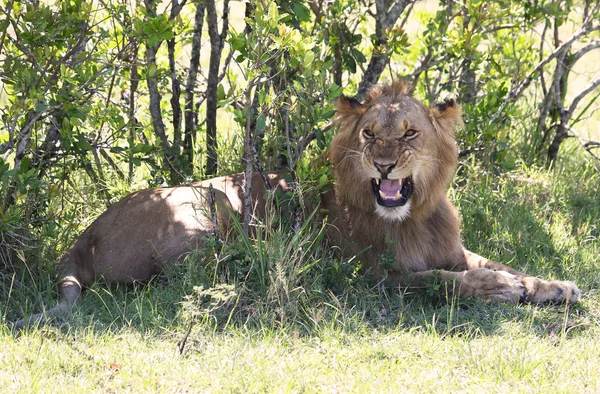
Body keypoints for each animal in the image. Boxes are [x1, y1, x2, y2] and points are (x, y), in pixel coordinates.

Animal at [12, 81, 576, 328]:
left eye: (409, 133)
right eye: (370, 135)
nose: (385, 167)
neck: (411, 215)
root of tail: (83, 235)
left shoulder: (452, 249)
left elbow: (496, 262)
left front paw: (553, 285)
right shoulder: (374, 275)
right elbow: (440, 281)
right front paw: (499, 289)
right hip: (204, 205)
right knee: (183, 282)